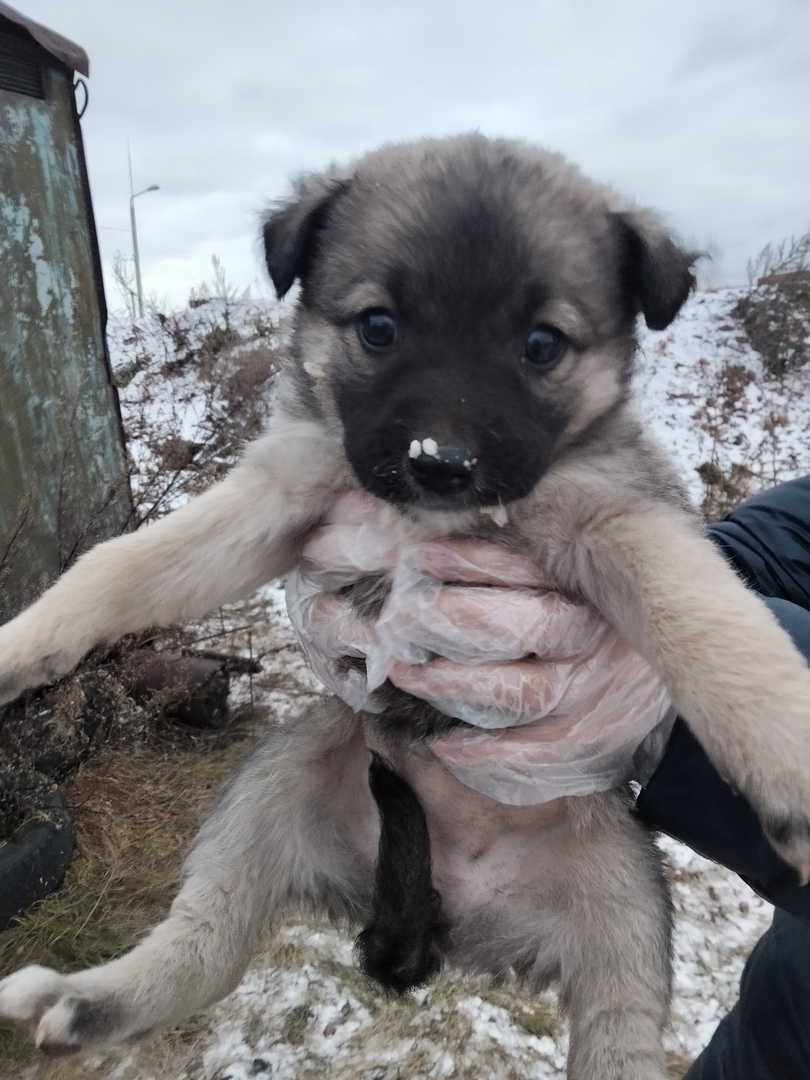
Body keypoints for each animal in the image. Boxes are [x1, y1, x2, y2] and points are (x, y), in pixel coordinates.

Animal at [1, 137, 810, 1080]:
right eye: (378, 327)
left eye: (542, 344)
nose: (441, 463)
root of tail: (454, 915)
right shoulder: (277, 496)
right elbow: (121, 565)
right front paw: (23, 642)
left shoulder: (621, 520)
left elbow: (712, 625)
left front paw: (790, 760)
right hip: (276, 785)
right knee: (203, 949)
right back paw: (78, 1001)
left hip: (623, 899)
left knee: (622, 1035)